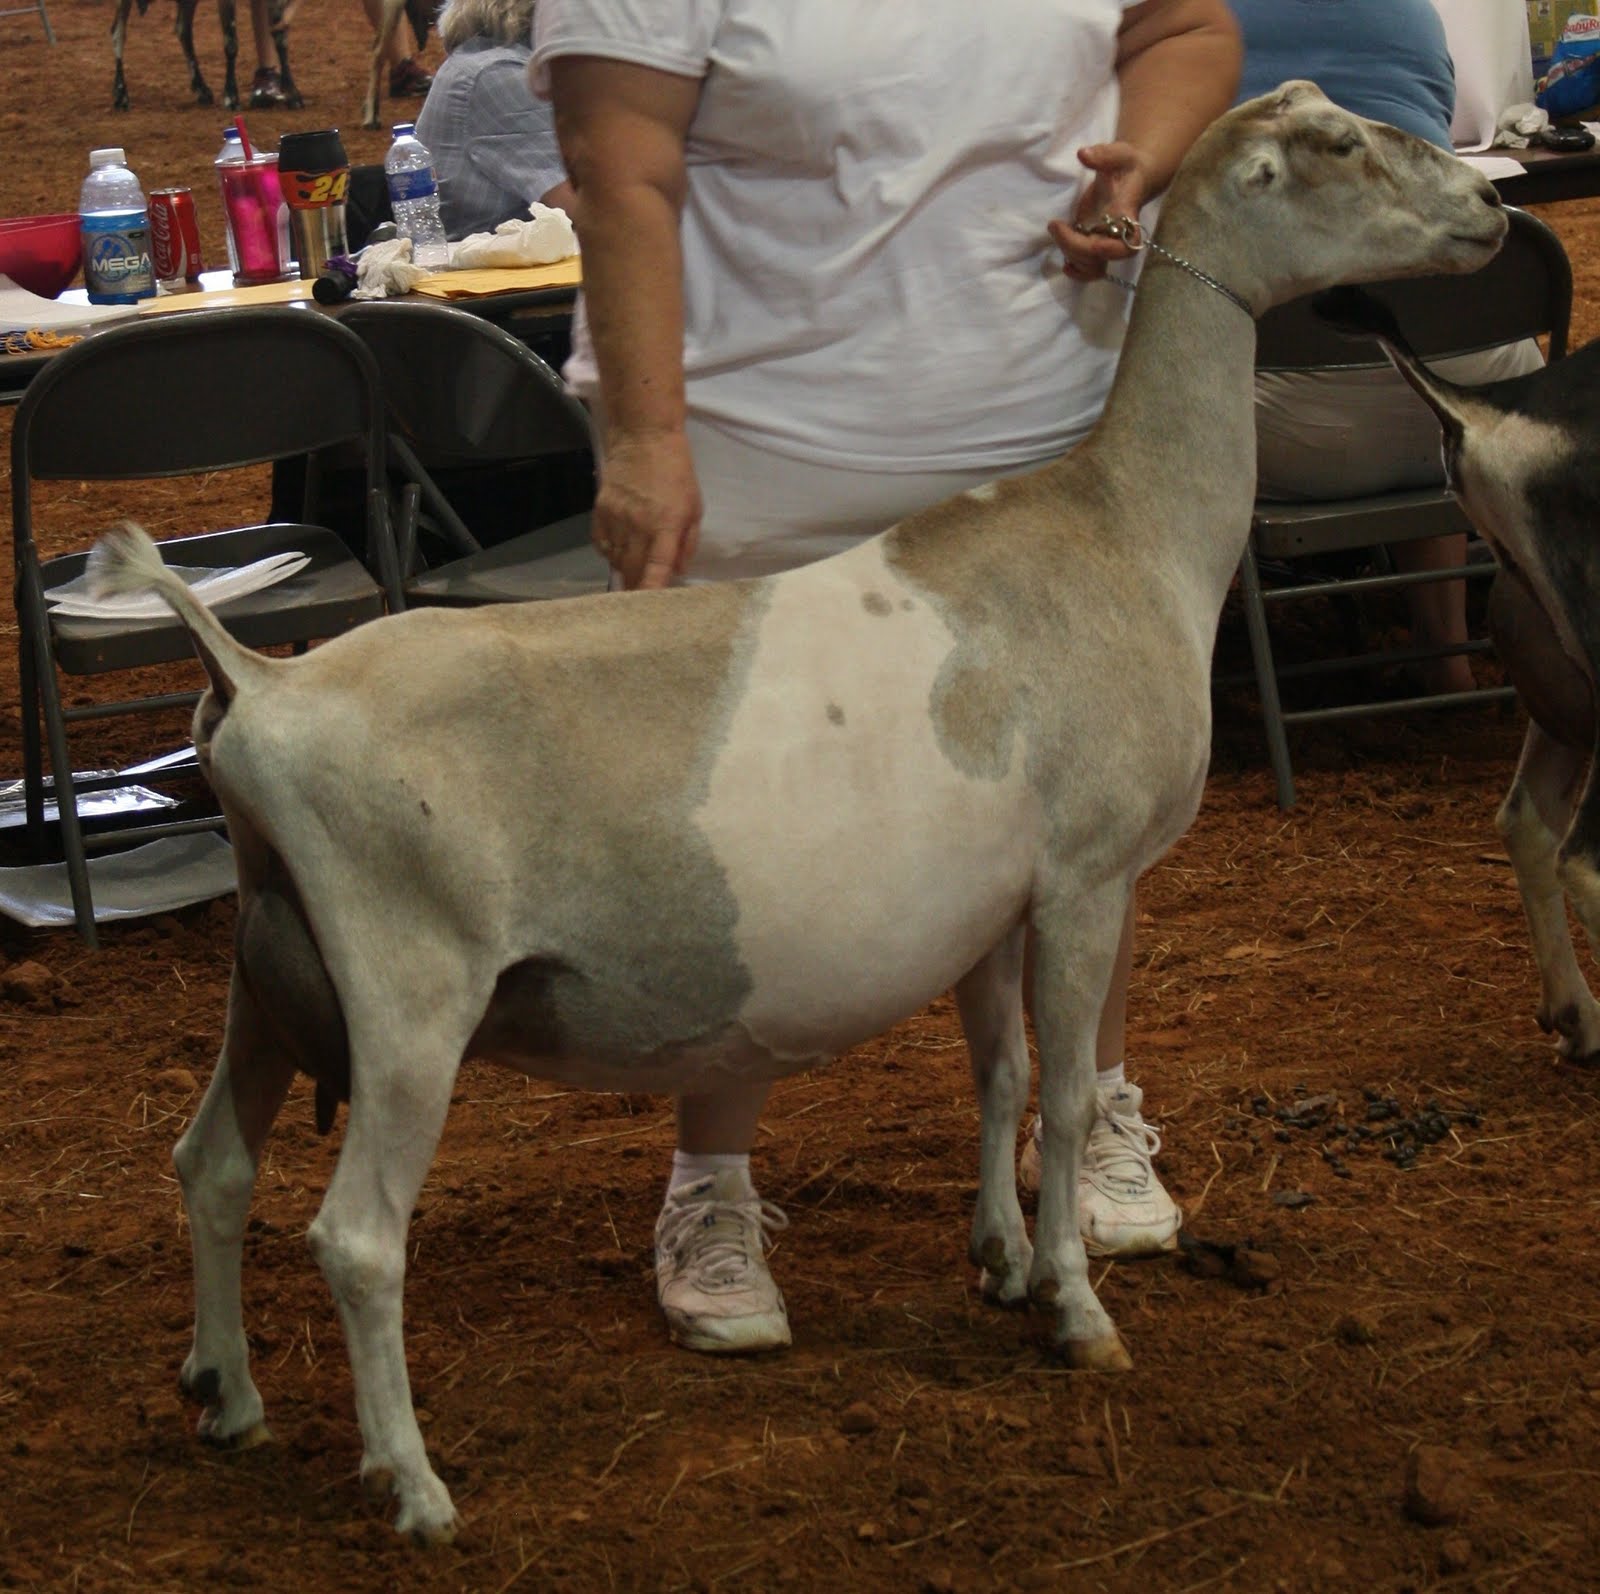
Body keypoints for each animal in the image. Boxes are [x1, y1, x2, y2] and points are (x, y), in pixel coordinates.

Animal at [87, 83, 1505, 1545]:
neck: (1127, 529)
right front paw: (1077, 1310)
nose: (1490, 209)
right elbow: (1058, 1093)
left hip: (272, 963)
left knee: (211, 1166)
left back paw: (229, 1397)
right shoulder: (1085, 875)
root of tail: (258, 684)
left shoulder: (990, 902)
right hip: (407, 987)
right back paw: (415, 1485)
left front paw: (1001, 1258)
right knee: (359, 1236)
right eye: (1338, 148)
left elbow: (1000, 1077)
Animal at [111, 0, 302, 113]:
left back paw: (202, 89)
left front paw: (292, 94)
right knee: (118, 32)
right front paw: (231, 97)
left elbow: (280, 36)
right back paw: (121, 95)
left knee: (183, 29)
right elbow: (231, 43)